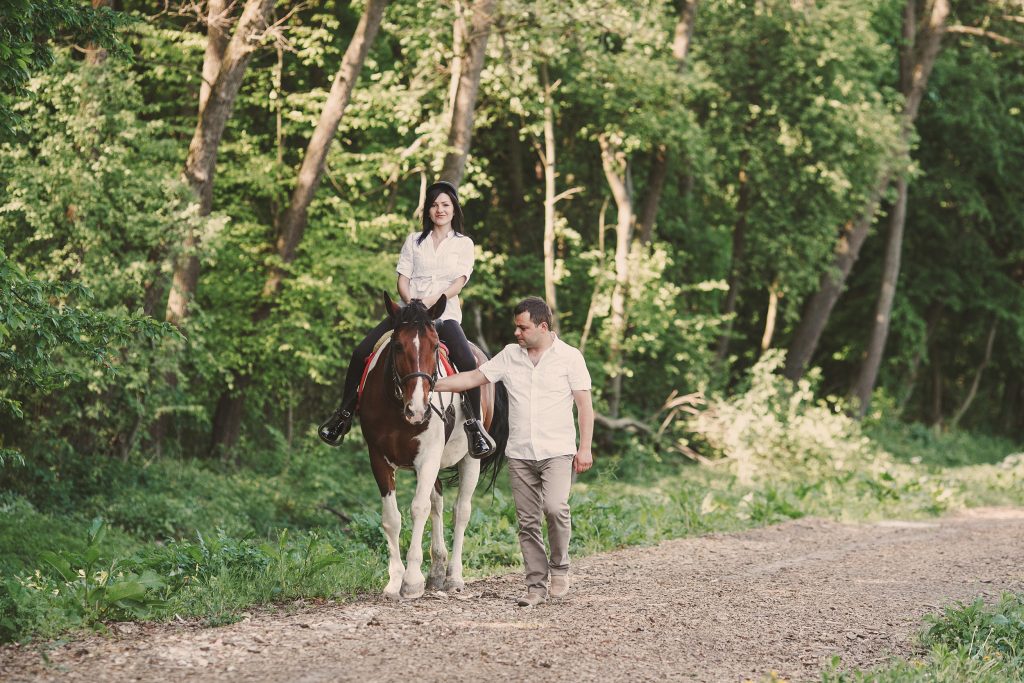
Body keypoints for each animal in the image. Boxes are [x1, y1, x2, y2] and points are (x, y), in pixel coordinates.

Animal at [358, 291, 508, 600]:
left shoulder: (427, 457)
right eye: (397, 346)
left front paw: (412, 581)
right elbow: (392, 517)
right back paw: (437, 571)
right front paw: (394, 581)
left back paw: (453, 577)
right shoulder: (378, 458)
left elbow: (418, 509)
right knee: (438, 503)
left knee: (460, 511)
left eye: (436, 346)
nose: (418, 410)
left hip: (470, 459)